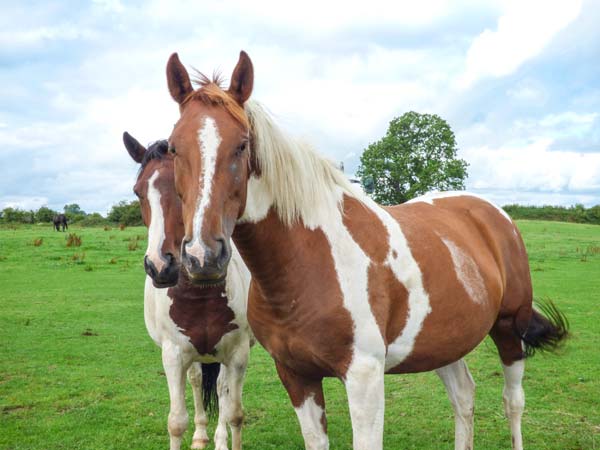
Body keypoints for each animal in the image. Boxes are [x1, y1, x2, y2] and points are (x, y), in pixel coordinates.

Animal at [122, 134, 253, 450]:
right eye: (138, 192)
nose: (160, 265)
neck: (199, 295)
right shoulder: (172, 355)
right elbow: (177, 421)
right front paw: (196, 432)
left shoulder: (238, 354)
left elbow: (234, 413)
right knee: (196, 380)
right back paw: (202, 434)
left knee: (221, 388)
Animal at [163, 51, 568, 448]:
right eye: (173, 147)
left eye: (242, 144)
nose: (203, 256)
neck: (308, 261)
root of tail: (493, 215)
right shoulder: (296, 375)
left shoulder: (364, 378)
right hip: (445, 341)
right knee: (463, 396)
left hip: (509, 329)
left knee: (513, 402)